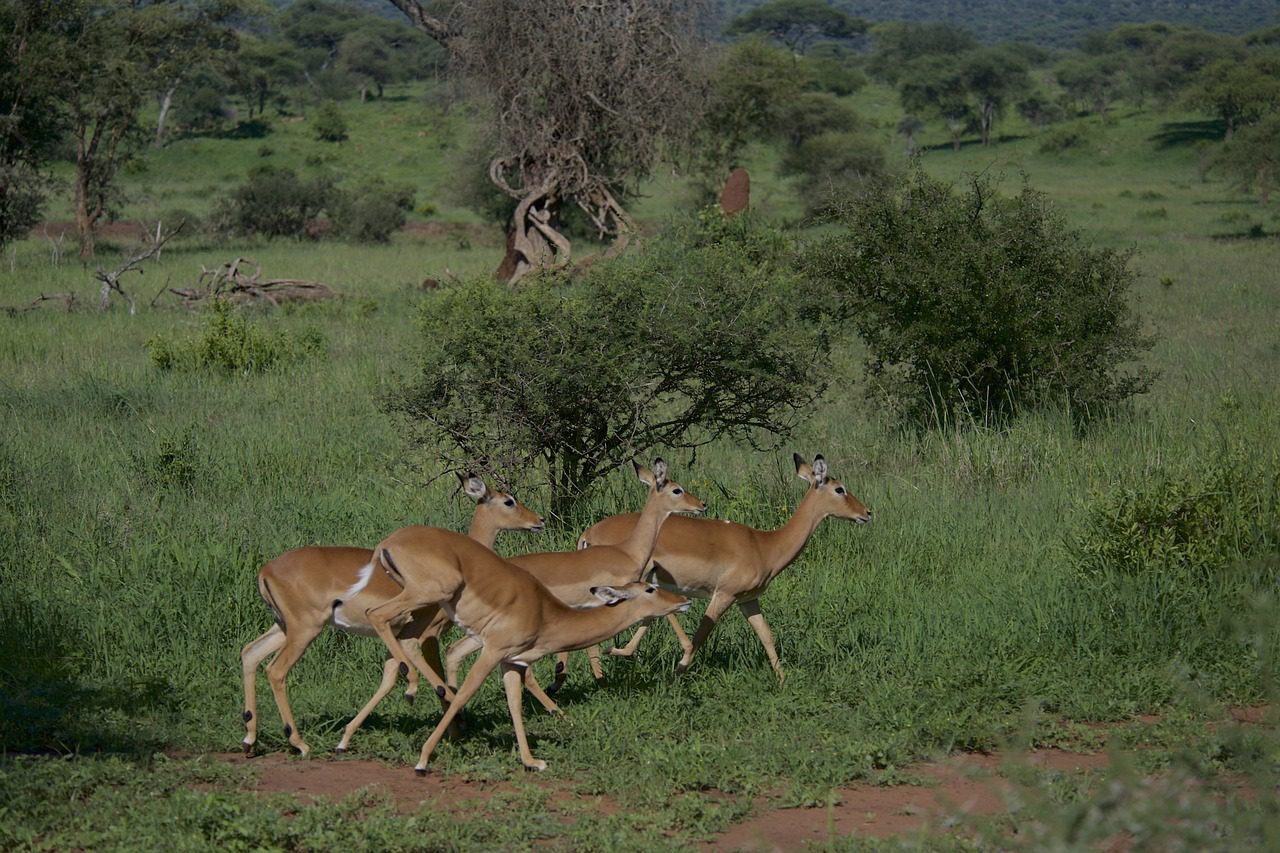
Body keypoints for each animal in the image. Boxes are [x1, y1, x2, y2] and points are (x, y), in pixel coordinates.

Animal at [239, 474, 544, 756]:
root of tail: (265, 570)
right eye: (508, 501)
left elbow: (387, 680)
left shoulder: (396, 637)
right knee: (276, 670)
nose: (539, 519)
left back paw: (250, 740)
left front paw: (346, 738)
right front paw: (455, 729)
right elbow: (434, 676)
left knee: (250, 653)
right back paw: (299, 743)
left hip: (283, 627)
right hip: (305, 629)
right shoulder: (426, 634)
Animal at [366, 526, 691, 772]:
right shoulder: (492, 652)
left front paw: (532, 761)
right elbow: (465, 695)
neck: (544, 614)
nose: (683, 601)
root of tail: (389, 542)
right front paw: (423, 759)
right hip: (428, 595)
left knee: (404, 637)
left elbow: (515, 704)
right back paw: (411, 689)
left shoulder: (512, 662)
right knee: (377, 616)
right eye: (649, 588)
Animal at [578, 453, 871, 681]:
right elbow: (700, 636)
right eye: (840, 489)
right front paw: (676, 677)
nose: (867, 513)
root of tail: (587, 535)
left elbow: (767, 636)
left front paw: (783, 679)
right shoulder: (724, 595)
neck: (764, 545)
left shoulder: (748, 600)